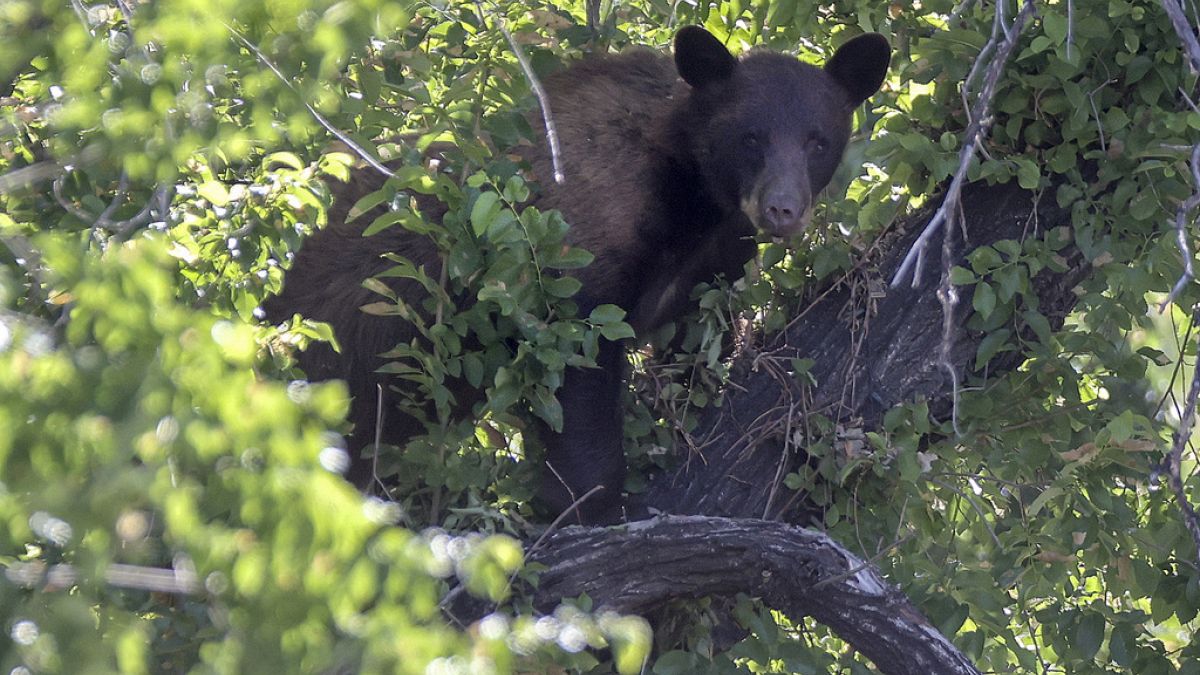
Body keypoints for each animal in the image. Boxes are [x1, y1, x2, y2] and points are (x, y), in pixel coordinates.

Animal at [270, 24, 892, 521]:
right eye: (751, 137)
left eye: (817, 141)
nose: (782, 209)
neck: (693, 198)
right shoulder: (577, 248)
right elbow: (577, 365)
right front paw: (589, 505)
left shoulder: (713, 263)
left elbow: (696, 347)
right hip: (343, 349)